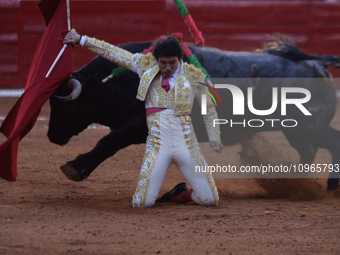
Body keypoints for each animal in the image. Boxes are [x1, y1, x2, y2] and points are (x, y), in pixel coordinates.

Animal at [47, 39, 340, 190]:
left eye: (63, 105)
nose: (51, 136)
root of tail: (316, 64)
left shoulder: (134, 126)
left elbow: (106, 143)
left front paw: (74, 168)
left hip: (309, 126)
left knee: (329, 142)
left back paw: (331, 185)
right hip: (296, 131)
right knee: (308, 151)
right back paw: (294, 182)